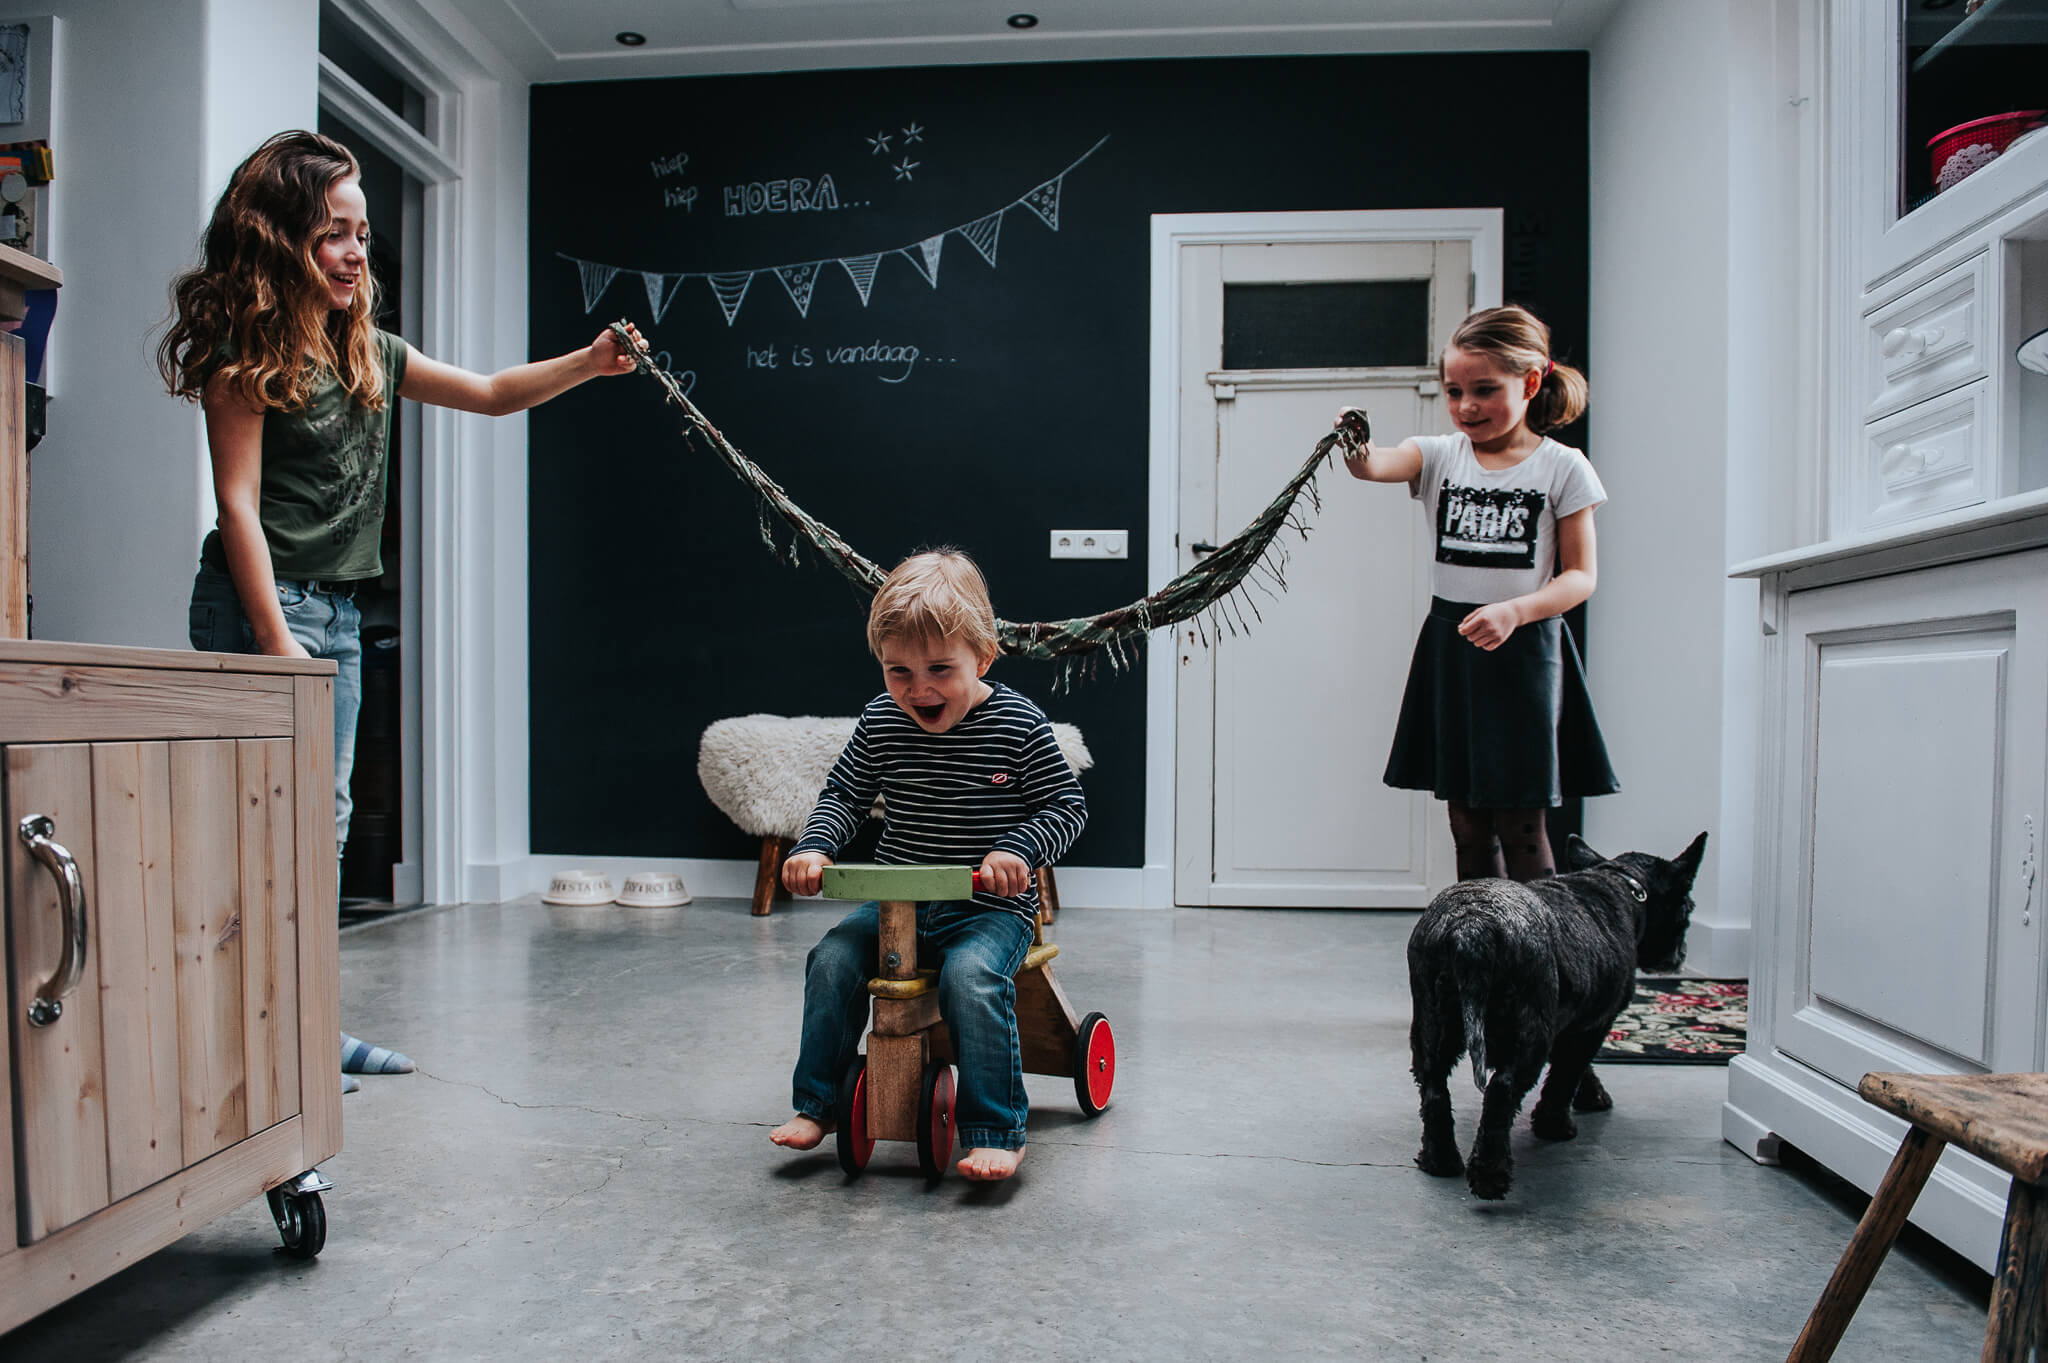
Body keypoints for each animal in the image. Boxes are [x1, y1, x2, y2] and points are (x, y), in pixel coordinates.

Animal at [1406, 831, 1708, 1200]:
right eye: (1687, 907)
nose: (1679, 956)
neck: (1620, 885)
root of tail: (1471, 927)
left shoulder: (1572, 1023)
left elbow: (1576, 1068)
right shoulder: (1594, 1024)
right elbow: (1568, 1074)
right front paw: (1556, 1123)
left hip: (1432, 1025)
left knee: (1434, 1088)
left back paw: (1439, 1160)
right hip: (1528, 1034)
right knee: (1501, 1092)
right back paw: (1489, 1175)